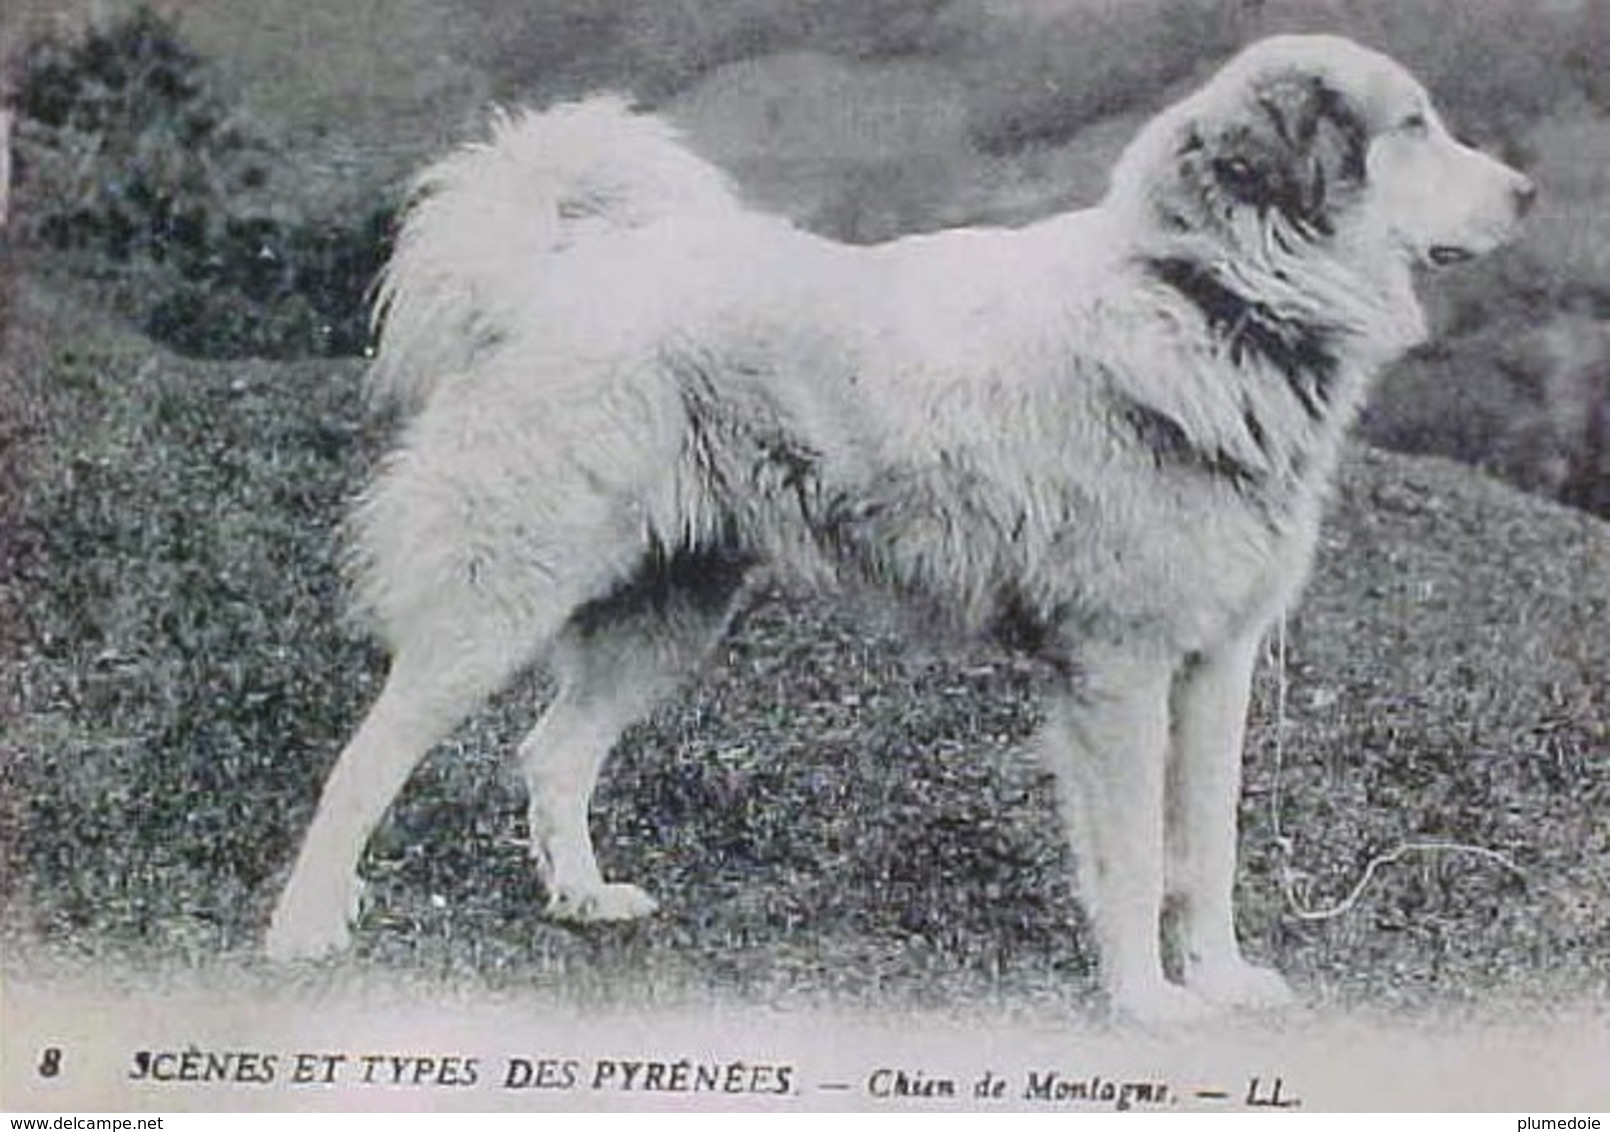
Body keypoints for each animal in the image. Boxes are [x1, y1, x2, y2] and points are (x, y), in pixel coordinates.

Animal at [267, 37, 1532, 1030]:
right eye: (1412, 127)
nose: (1525, 193)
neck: (1205, 300)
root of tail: (561, 266)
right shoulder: (1118, 669)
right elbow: (1132, 855)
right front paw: (1145, 1002)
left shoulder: (1215, 664)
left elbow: (1203, 848)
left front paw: (1216, 982)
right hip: (505, 591)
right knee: (367, 755)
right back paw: (305, 925)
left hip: (669, 612)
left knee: (552, 751)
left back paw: (579, 899)